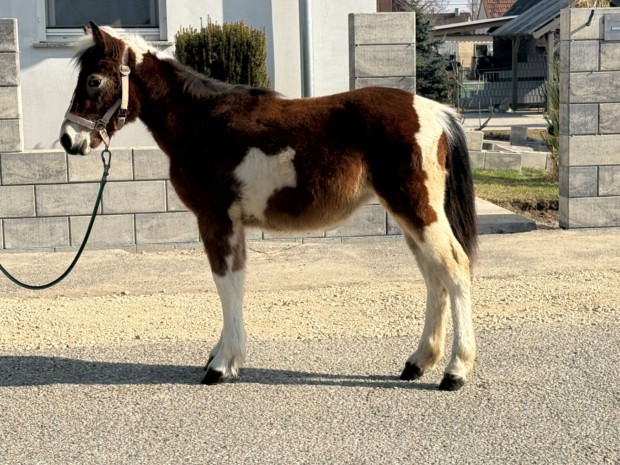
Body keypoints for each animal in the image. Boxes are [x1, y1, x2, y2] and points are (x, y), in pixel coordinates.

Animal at [60, 24, 478, 388]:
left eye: (94, 80)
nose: (68, 139)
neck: (202, 123)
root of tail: (437, 112)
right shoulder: (232, 224)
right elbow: (235, 282)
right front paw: (221, 355)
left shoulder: (216, 219)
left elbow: (226, 284)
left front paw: (222, 364)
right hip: (410, 219)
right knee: (434, 278)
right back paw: (418, 362)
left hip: (419, 212)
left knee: (455, 269)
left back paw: (455, 371)